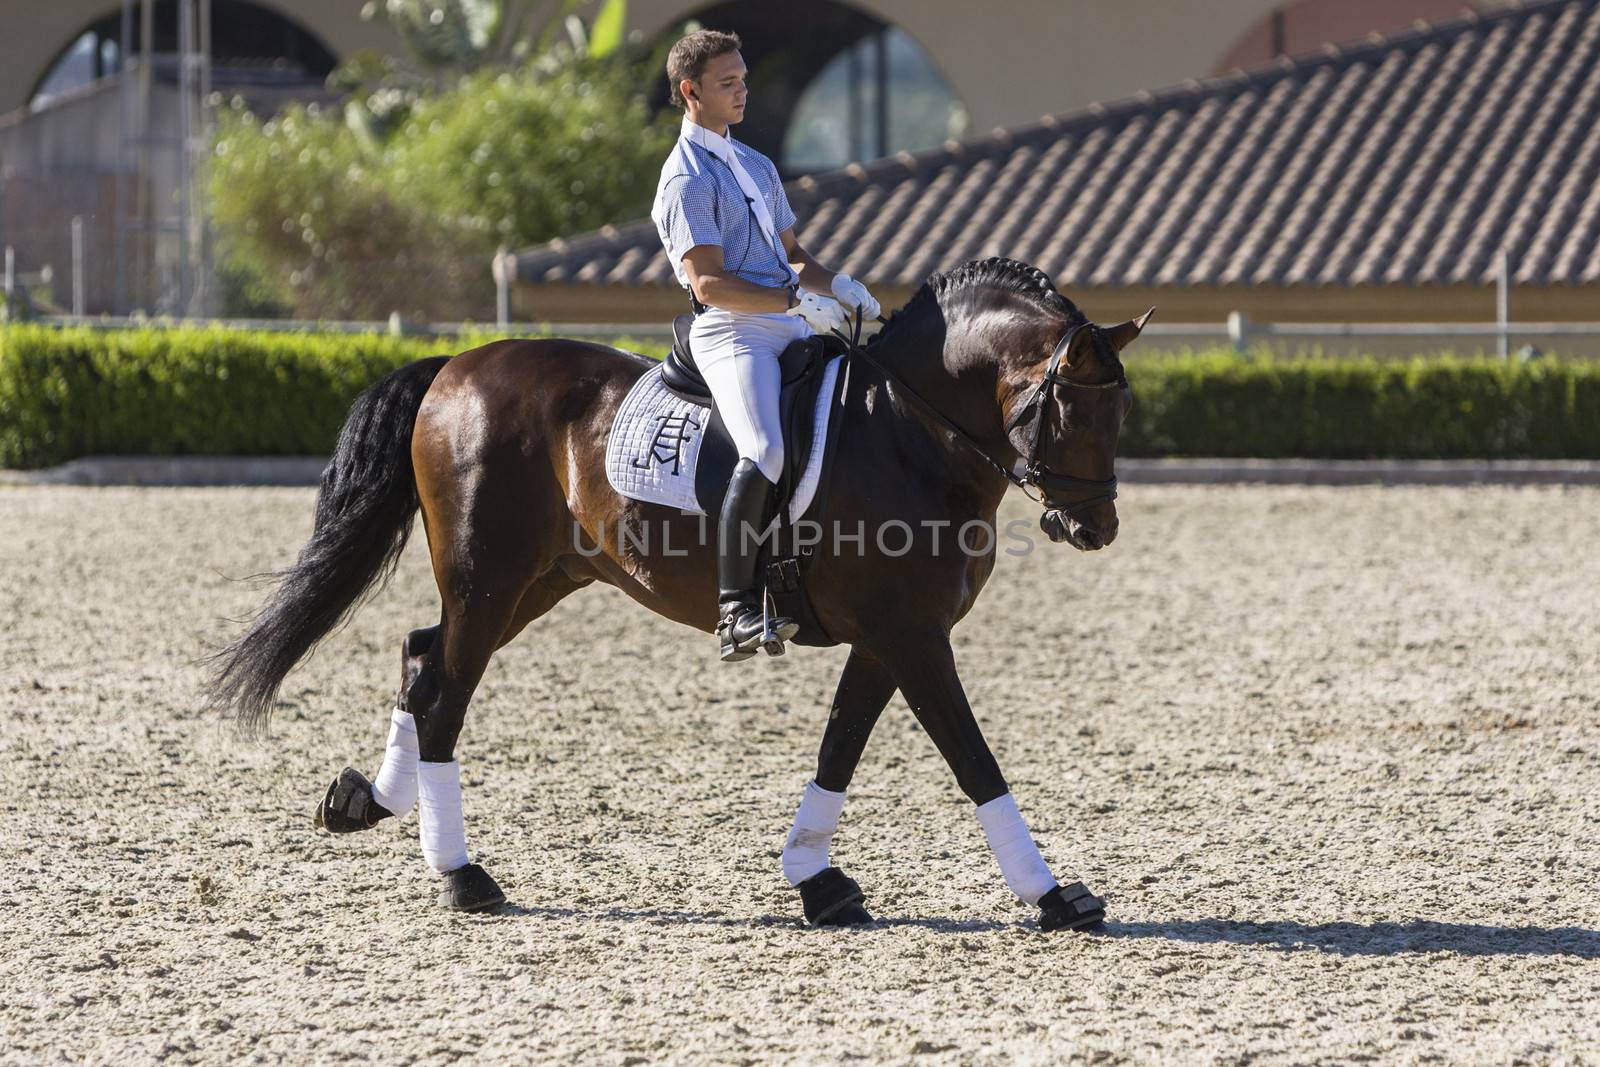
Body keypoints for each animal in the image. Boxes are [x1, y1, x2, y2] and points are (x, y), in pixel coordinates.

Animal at [209, 254, 1152, 927]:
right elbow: (974, 760)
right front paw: (1055, 895)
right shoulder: (912, 636)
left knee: (421, 656)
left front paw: (816, 881)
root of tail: (456, 368)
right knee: (446, 694)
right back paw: (462, 876)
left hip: (538, 580)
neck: (908, 432)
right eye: (1072, 408)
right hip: (489, 580)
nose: (1095, 528)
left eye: (1123, 413)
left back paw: (367, 801)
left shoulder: (889, 638)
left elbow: (838, 750)